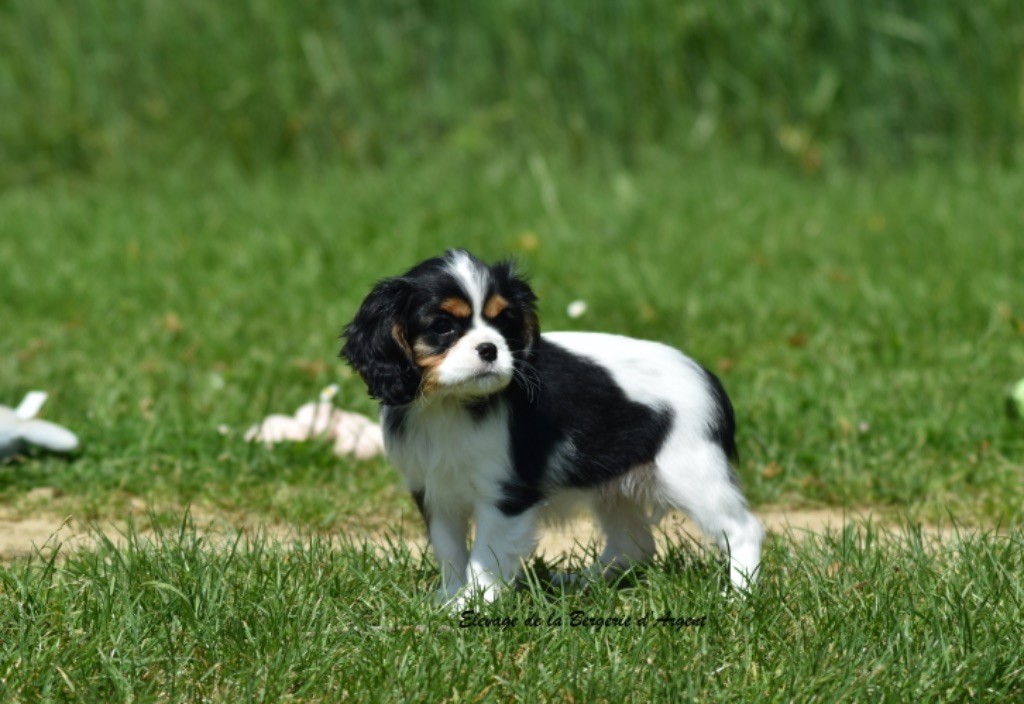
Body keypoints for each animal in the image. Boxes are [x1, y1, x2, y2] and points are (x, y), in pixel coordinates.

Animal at [341, 249, 762, 604]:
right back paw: (584, 581)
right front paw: (447, 598)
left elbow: (485, 555)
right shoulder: (434, 491)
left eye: (503, 322)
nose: (490, 349)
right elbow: (449, 550)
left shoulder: (505, 495)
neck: (449, 403)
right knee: (634, 546)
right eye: (442, 326)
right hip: (615, 486)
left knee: (743, 529)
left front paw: (471, 603)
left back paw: (739, 597)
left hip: (689, 472)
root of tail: (707, 376)